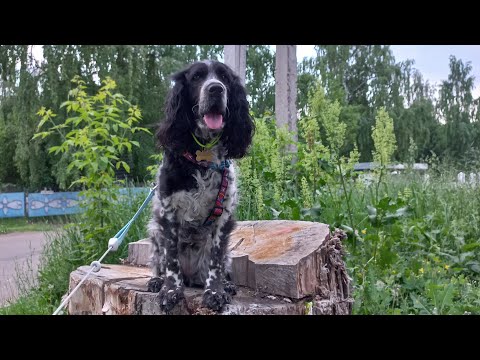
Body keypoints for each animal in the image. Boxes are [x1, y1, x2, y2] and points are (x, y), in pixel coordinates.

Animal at [147, 59, 255, 312]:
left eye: (224, 78)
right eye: (197, 77)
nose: (216, 89)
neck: (203, 154)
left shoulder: (223, 216)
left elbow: (215, 260)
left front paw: (215, 292)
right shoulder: (167, 214)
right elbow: (171, 259)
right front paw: (170, 290)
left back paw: (227, 285)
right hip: (154, 232)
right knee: (158, 261)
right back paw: (157, 280)